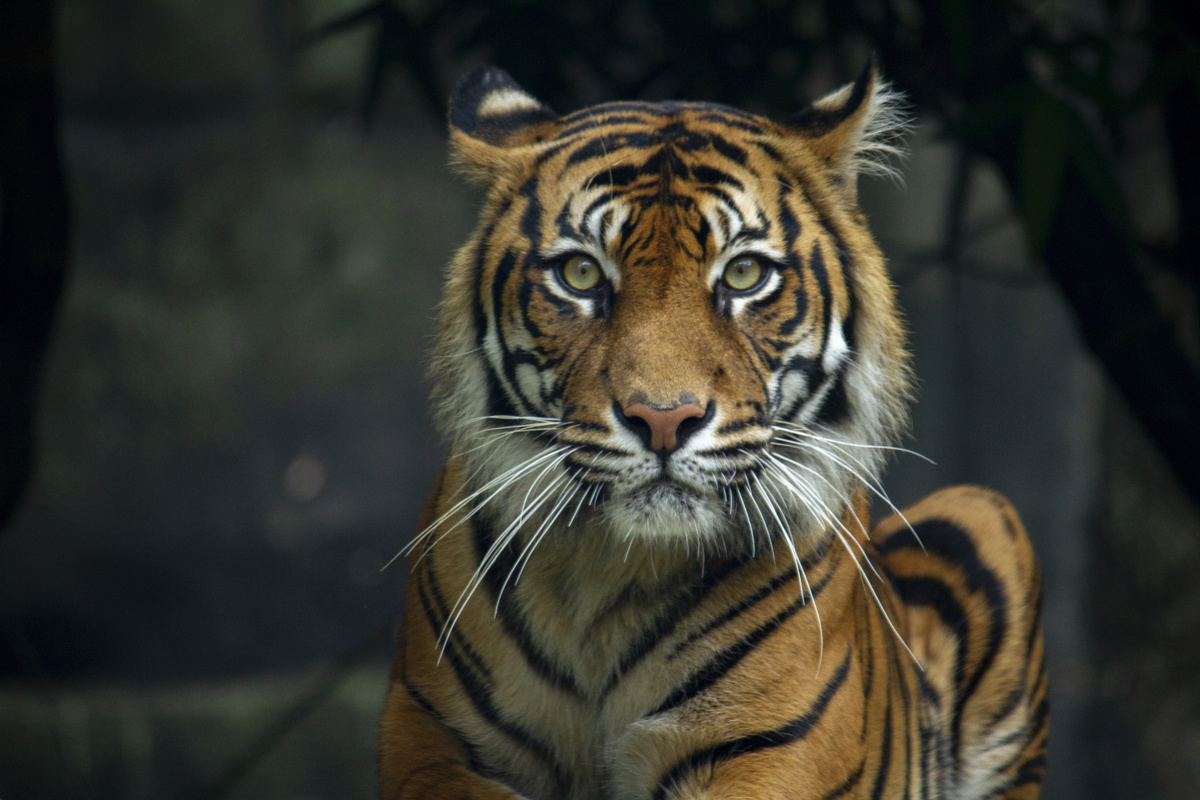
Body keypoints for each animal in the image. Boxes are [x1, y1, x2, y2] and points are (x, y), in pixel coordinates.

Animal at [379, 61, 1046, 800]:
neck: (607, 579)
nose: (663, 418)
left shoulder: (767, 746)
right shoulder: (431, 732)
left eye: (745, 273)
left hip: (987, 513)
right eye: (580, 274)